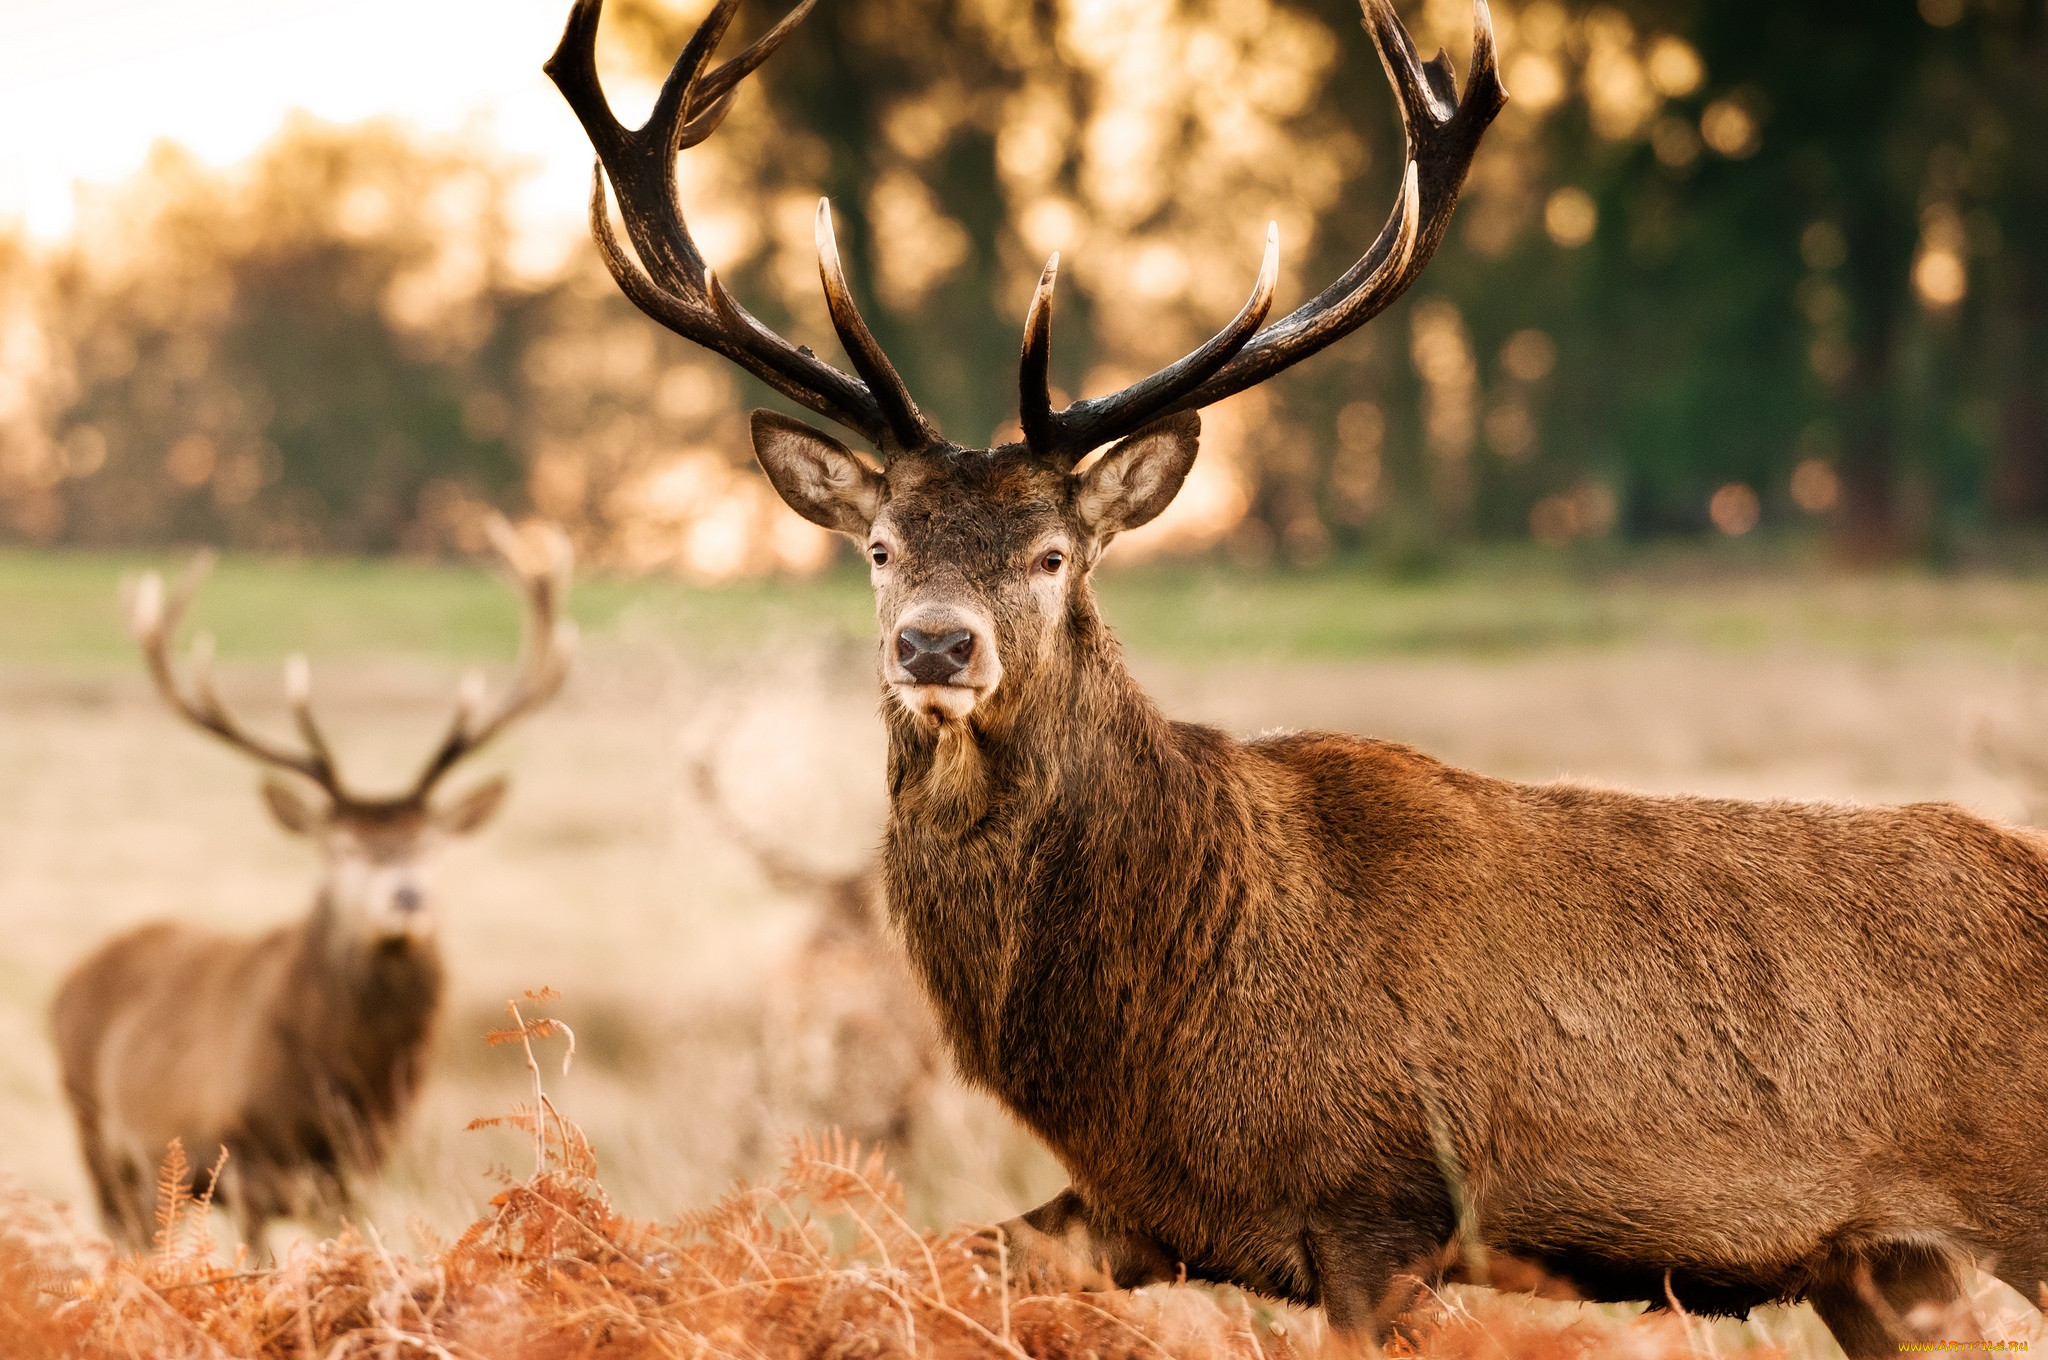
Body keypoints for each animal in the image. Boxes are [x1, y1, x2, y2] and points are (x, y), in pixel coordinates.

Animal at [49, 520, 577, 1253]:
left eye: (431, 843)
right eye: (341, 846)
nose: (406, 897)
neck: (337, 1085)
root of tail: (68, 982)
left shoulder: (358, 1171)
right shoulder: (238, 1157)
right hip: (99, 1134)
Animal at [552, 0, 2048, 1351]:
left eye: (1051, 553)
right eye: (878, 545)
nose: (935, 643)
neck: (1150, 1030)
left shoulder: (1380, 1204)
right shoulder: (1125, 1209)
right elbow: (897, 1281)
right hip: (1880, 1266)